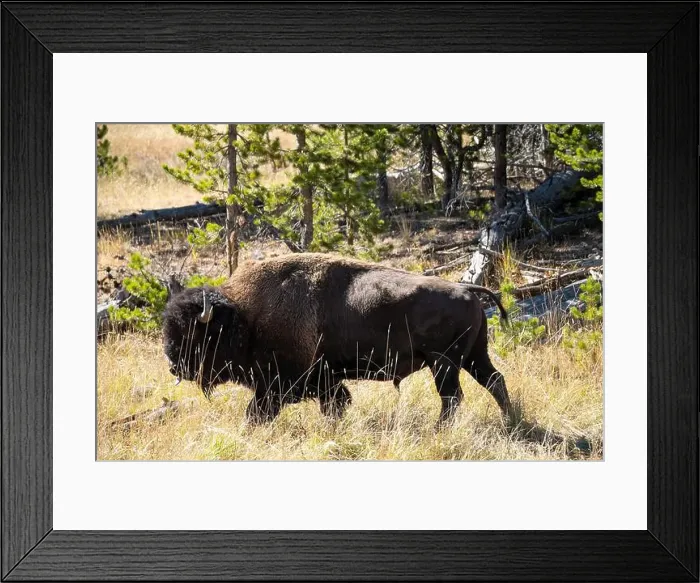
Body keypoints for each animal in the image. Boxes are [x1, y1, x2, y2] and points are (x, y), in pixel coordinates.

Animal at [162, 253, 513, 424]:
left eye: (195, 332)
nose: (173, 365)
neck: (244, 317)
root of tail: (466, 288)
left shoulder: (278, 385)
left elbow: (258, 412)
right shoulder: (324, 381)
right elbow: (335, 404)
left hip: (444, 363)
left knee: (452, 397)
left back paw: (439, 430)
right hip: (473, 356)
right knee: (494, 381)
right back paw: (510, 422)